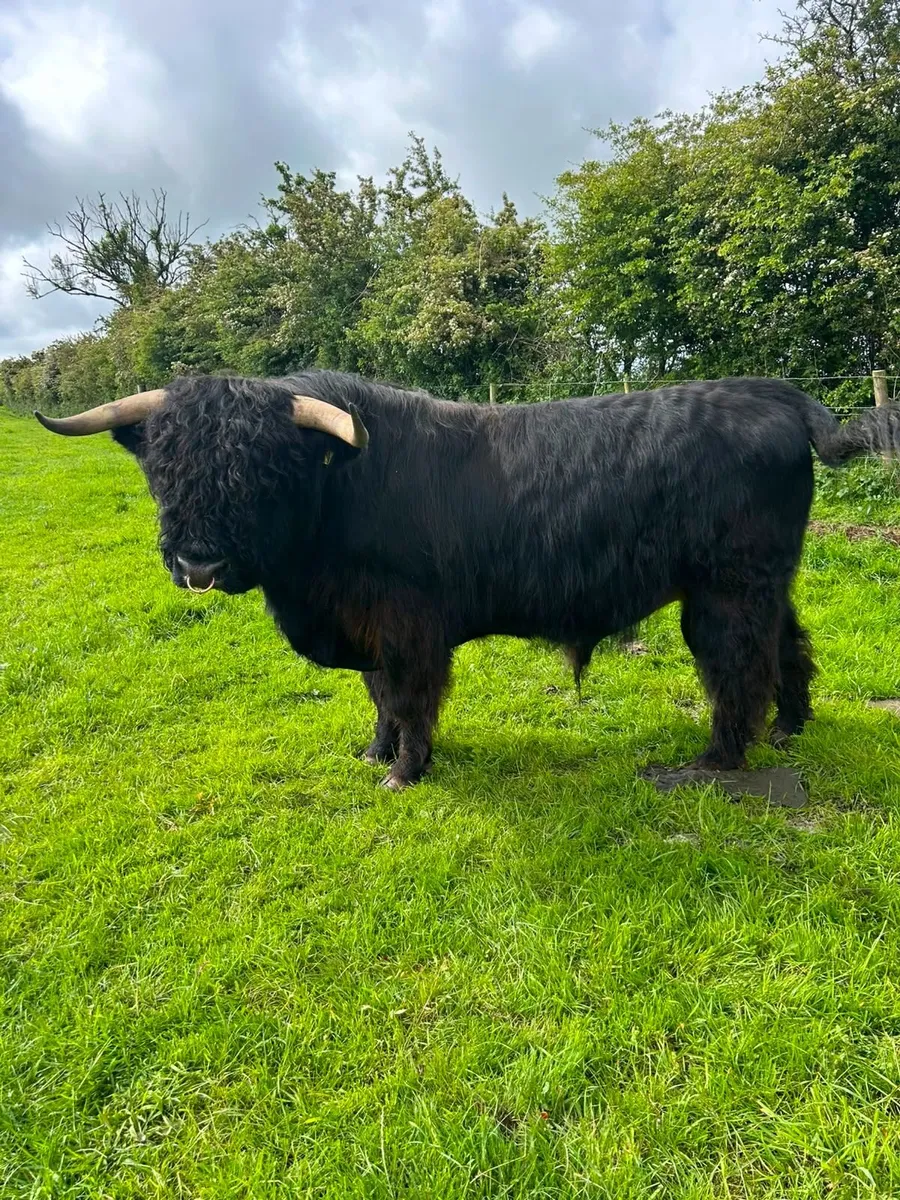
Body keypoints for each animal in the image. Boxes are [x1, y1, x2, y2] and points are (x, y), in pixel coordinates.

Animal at [35, 372, 900, 789]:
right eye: (163, 466)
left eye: (262, 469)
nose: (199, 564)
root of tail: (779, 395)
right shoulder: (367, 626)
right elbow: (377, 696)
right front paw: (373, 751)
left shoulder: (408, 623)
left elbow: (411, 695)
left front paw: (405, 771)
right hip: (764, 581)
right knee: (787, 646)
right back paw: (790, 728)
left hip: (725, 589)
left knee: (735, 669)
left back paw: (712, 762)